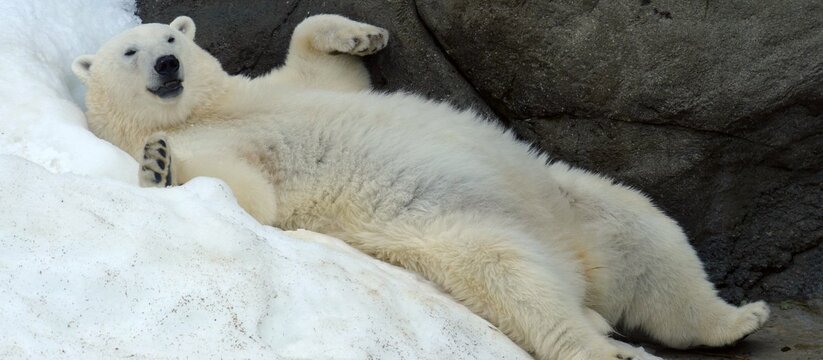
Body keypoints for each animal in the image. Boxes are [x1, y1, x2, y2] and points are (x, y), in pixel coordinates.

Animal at [72, 14, 772, 360]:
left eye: (169, 36)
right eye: (129, 52)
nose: (169, 63)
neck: (203, 113)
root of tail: (581, 275)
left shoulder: (272, 92)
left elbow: (323, 64)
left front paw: (365, 34)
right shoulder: (226, 145)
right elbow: (249, 197)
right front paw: (159, 165)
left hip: (576, 204)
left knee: (649, 234)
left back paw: (735, 320)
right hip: (453, 235)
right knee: (517, 282)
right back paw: (604, 349)